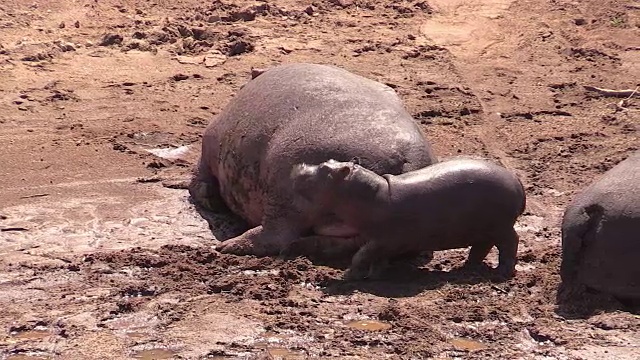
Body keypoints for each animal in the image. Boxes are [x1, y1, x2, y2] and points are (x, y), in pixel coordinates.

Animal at [292, 158, 528, 282]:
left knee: (510, 243)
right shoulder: (376, 241)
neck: (373, 195)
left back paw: (502, 272)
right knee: (482, 246)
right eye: (328, 161)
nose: (298, 166)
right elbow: (374, 259)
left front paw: (349, 276)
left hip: (502, 226)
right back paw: (467, 267)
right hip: (485, 228)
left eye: (324, 168)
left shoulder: (382, 240)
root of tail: (518, 182)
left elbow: (360, 256)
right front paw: (374, 275)